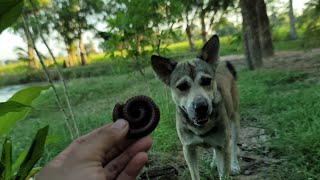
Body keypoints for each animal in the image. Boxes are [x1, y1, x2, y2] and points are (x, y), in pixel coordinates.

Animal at [151, 34, 240, 179]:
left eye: (207, 81)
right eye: (182, 86)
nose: (201, 107)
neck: (201, 127)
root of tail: (223, 65)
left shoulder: (223, 145)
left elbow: (224, 168)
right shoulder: (188, 149)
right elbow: (195, 174)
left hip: (234, 119)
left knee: (233, 144)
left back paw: (235, 165)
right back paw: (215, 162)